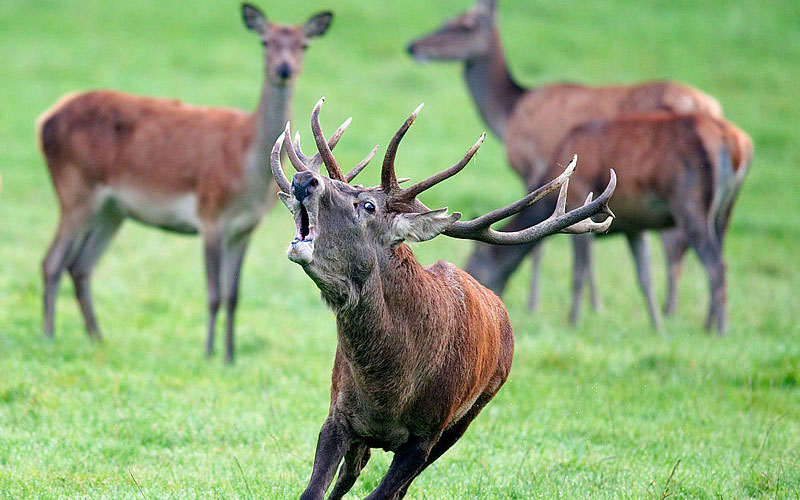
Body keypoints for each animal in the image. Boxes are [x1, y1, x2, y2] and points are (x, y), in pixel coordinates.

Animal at [36, 3, 334, 364]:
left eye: (304, 45)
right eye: (266, 41)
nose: (284, 69)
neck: (248, 172)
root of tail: (45, 119)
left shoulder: (245, 228)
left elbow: (234, 295)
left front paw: (230, 356)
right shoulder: (210, 215)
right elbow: (214, 293)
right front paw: (208, 353)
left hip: (112, 209)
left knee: (79, 265)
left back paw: (96, 338)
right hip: (75, 189)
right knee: (52, 261)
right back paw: (49, 335)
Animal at [272, 97, 616, 500]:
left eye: (368, 206)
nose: (303, 180)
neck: (389, 388)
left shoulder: (426, 436)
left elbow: (384, 493)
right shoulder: (338, 414)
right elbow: (313, 491)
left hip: (467, 416)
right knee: (350, 474)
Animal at [410, 0, 728, 324]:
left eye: (465, 24)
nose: (413, 46)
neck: (509, 114)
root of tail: (714, 109)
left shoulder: (535, 168)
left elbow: (556, 253)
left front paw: (548, 307)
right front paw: (596, 308)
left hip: (683, 200)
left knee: (689, 252)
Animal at [462, 112, 752, 334]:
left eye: (475, 263)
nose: (482, 299)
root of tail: (735, 144)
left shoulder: (578, 198)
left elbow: (579, 271)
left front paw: (572, 322)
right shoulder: (635, 228)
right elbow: (645, 277)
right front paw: (657, 327)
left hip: (690, 206)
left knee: (716, 265)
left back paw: (720, 330)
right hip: (725, 211)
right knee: (719, 260)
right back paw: (708, 325)